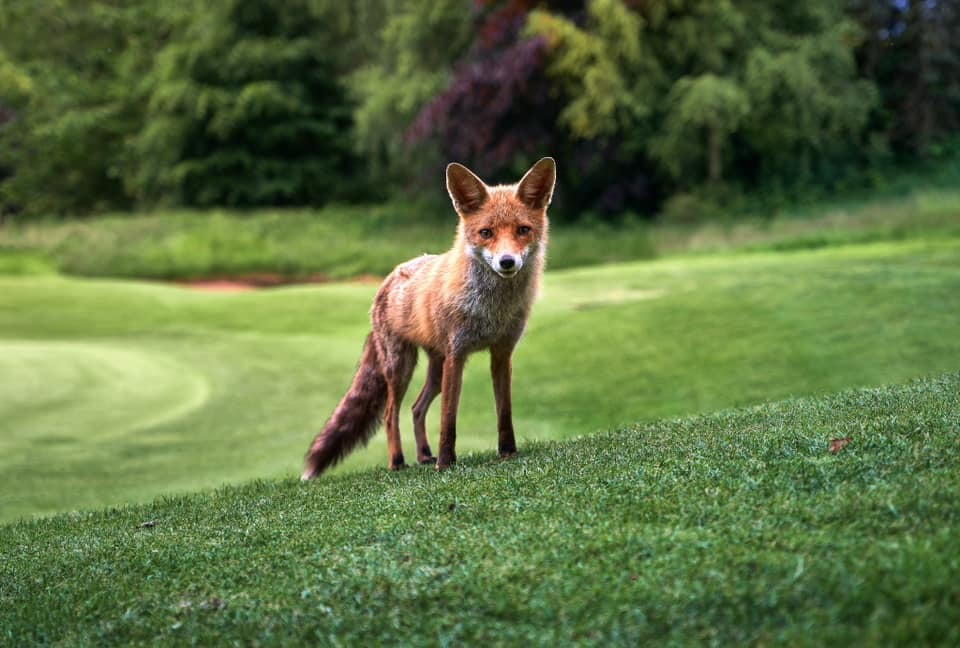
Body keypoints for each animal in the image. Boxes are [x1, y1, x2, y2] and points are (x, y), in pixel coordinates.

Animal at [300, 158, 556, 478]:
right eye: (486, 233)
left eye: (523, 230)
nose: (507, 262)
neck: (491, 310)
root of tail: (387, 280)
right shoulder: (457, 355)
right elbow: (448, 419)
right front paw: (446, 463)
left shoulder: (501, 353)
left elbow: (504, 412)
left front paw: (508, 453)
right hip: (401, 367)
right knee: (390, 414)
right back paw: (398, 461)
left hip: (435, 369)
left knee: (416, 408)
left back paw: (423, 454)